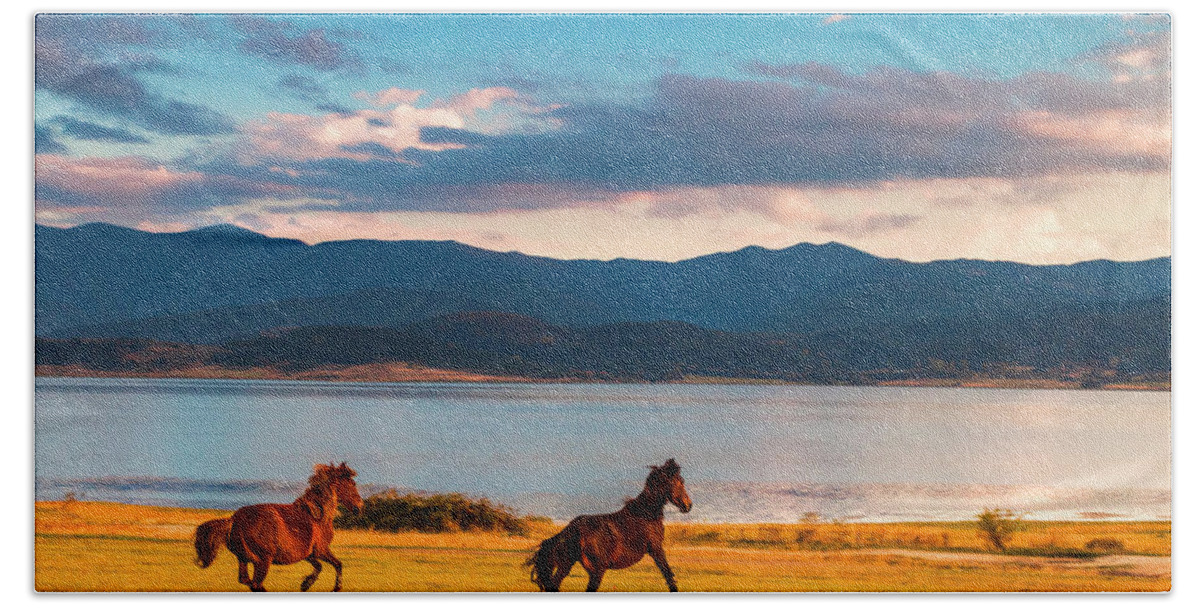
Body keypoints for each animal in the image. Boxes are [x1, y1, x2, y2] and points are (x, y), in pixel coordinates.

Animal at [194, 462, 362, 592]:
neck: (317, 514)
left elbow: (320, 566)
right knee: (256, 583)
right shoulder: (321, 550)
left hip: (244, 559)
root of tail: (234, 520)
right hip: (262, 561)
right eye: (352, 485)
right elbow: (337, 564)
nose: (359, 507)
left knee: (246, 580)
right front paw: (334, 587)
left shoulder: (309, 555)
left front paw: (305, 584)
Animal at [528, 458, 696, 592]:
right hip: (596, 570)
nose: (688, 505)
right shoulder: (655, 549)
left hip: (567, 565)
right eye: (678, 481)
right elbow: (668, 576)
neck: (645, 514)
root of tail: (571, 529)